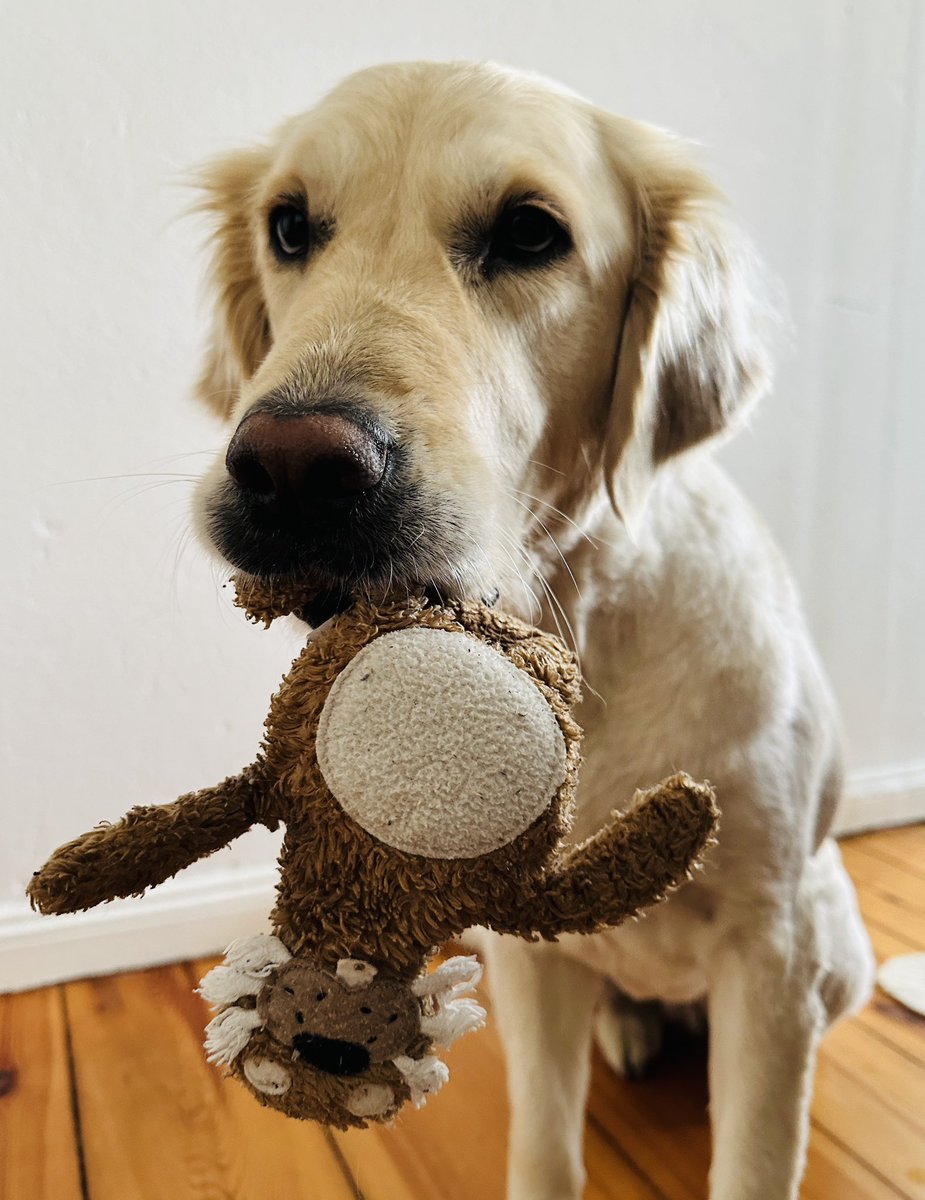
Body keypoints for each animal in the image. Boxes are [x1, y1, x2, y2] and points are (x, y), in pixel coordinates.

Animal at [189, 63, 873, 1200]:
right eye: (289, 226)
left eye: (527, 232)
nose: (290, 469)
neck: (579, 633)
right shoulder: (529, 955)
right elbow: (546, 1144)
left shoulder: (770, 952)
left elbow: (754, 1156)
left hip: (834, 938)